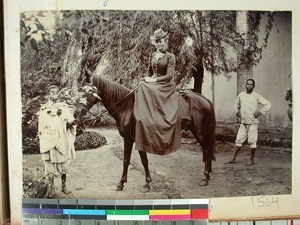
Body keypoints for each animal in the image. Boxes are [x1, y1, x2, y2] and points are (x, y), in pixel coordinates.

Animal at [79, 76, 216, 192]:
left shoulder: (137, 139)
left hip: (201, 132)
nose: (79, 113)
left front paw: (144, 184)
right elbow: (128, 160)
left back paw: (205, 178)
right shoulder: (128, 139)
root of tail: (205, 99)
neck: (127, 107)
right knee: (207, 151)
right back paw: (208, 175)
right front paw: (124, 183)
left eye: (88, 92)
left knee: (207, 151)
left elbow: (140, 161)